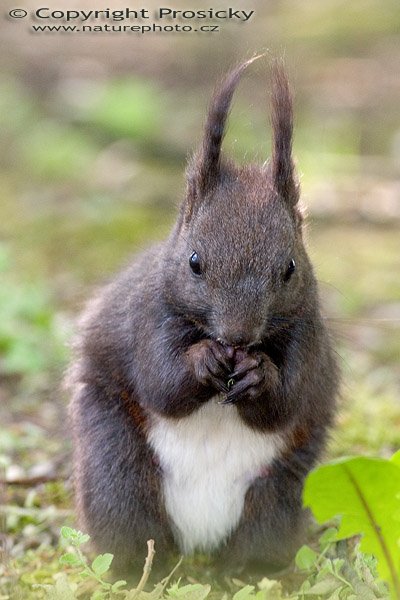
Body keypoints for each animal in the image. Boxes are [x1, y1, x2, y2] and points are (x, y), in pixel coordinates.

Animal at [67, 57, 340, 576]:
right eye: (194, 261)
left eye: (290, 268)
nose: (237, 336)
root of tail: (198, 541)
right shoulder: (148, 318)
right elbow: (161, 383)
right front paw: (204, 360)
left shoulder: (306, 335)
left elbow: (287, 402)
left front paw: (259, 374)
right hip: (118, 476)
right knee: (130, 528)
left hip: (276, 496)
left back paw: (241, 574)